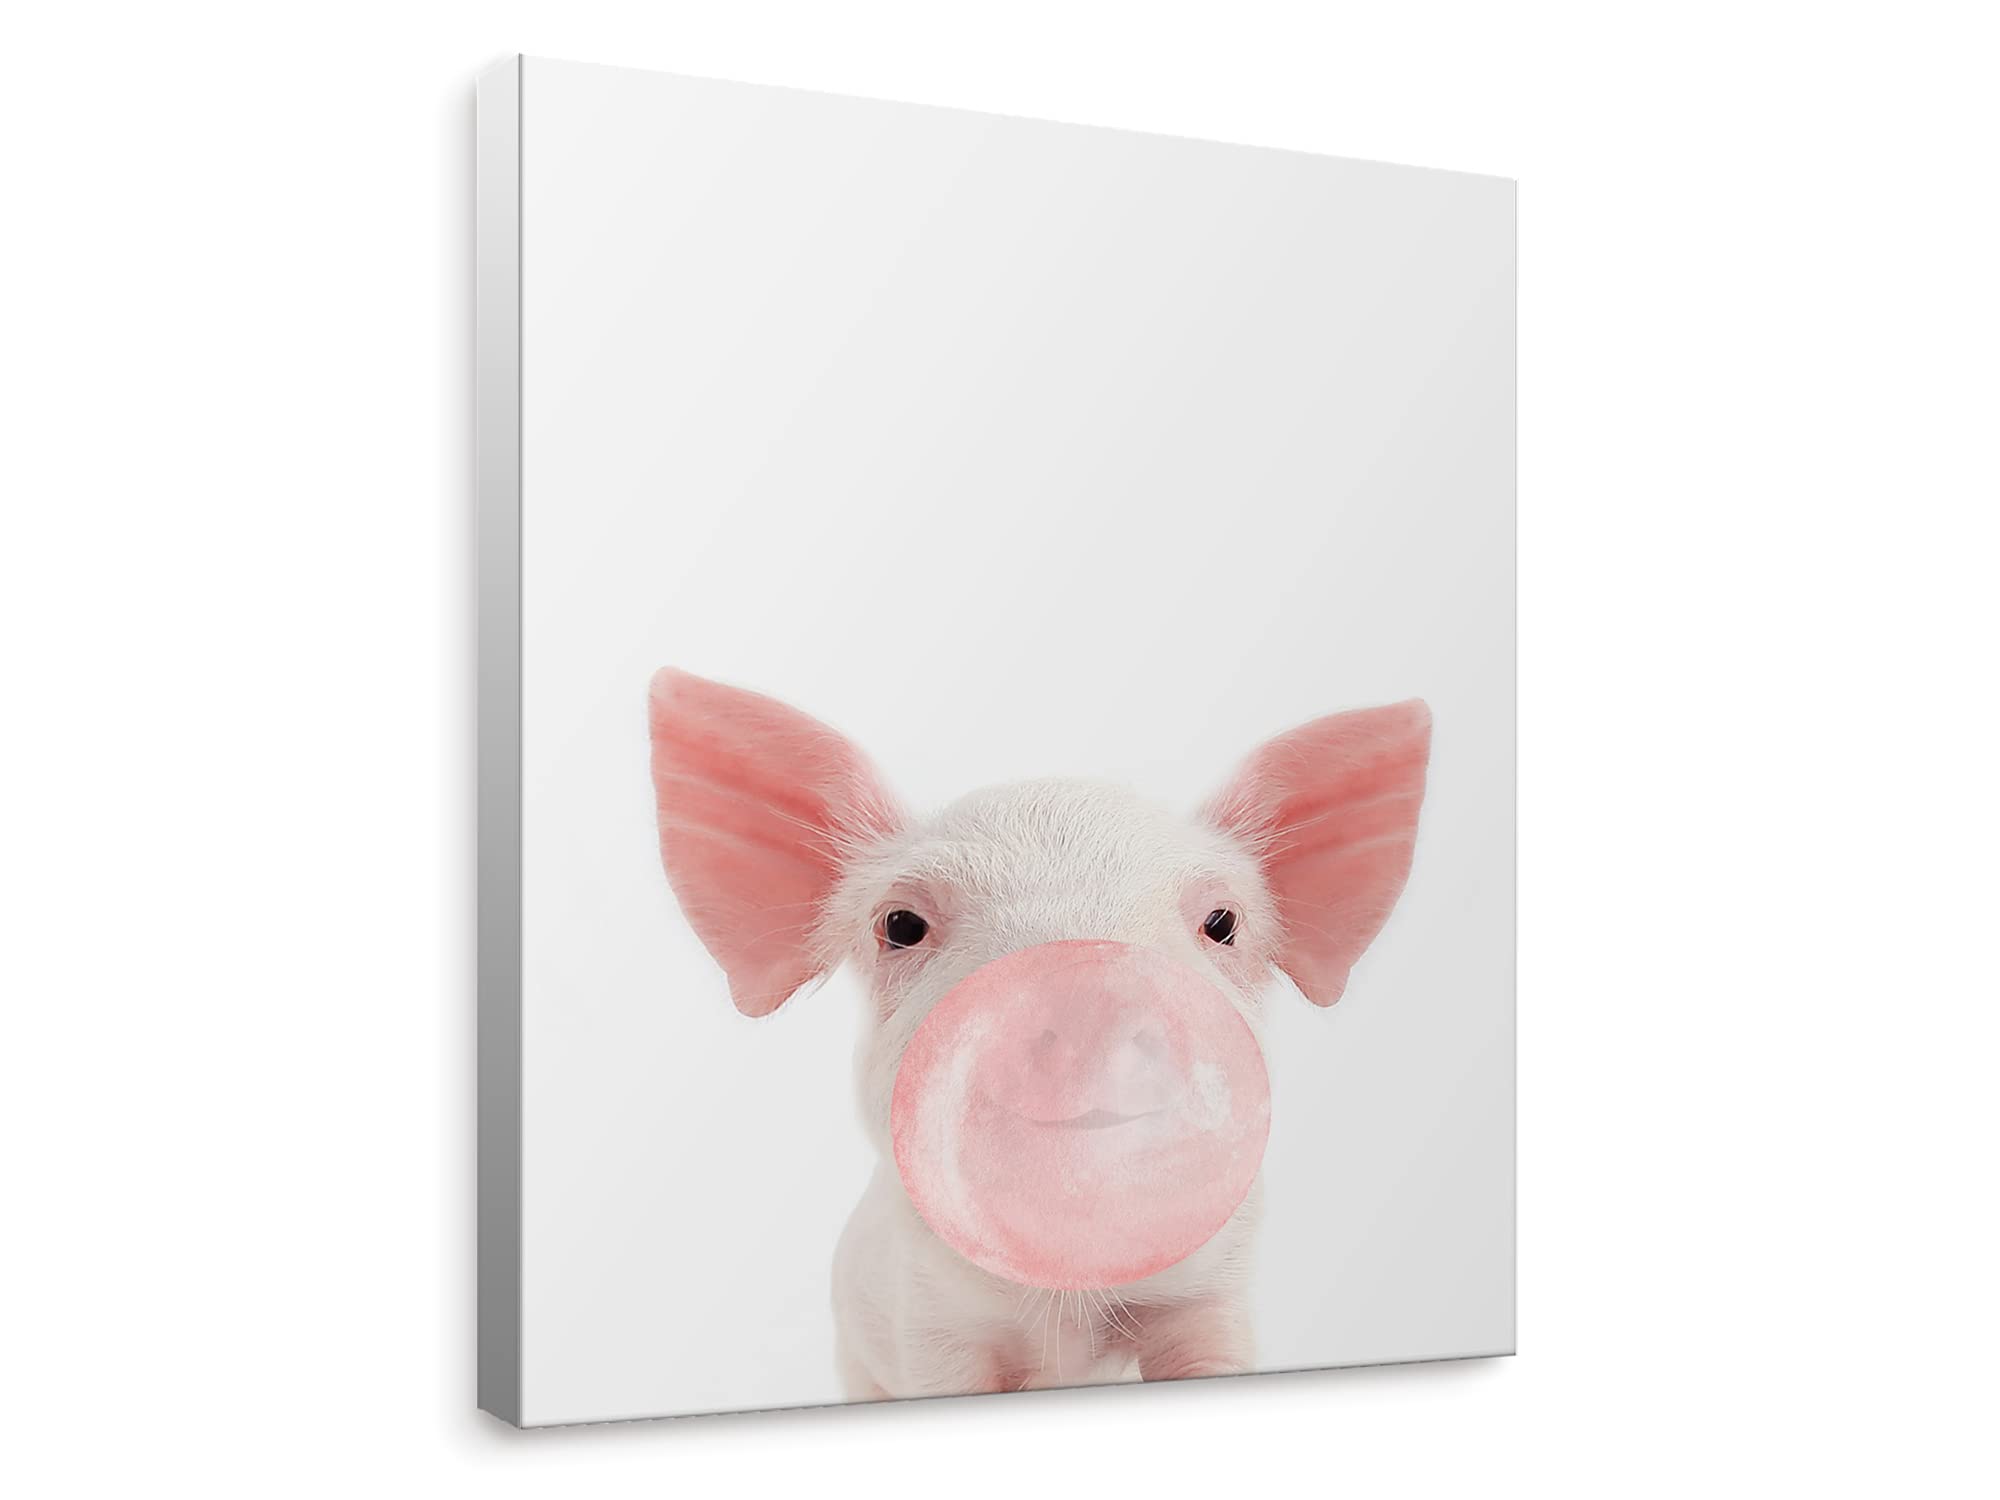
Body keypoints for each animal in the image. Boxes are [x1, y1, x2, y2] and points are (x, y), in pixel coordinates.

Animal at [647, 668, 1430, 1399]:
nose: (1082, 989)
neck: (1068, 1289)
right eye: (900, 924)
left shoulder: (1211, 1294)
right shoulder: (929, 1326)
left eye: (1222, 922)